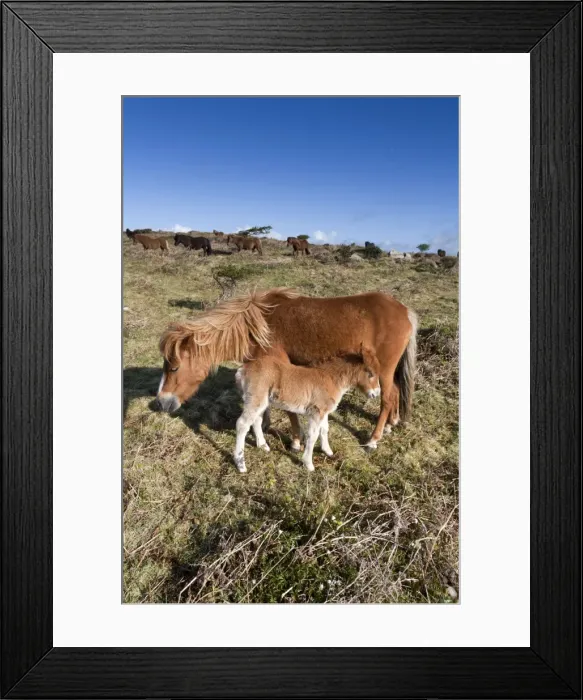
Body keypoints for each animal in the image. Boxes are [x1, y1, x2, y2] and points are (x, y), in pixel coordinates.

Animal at [157, 288, 417, 449]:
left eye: (174, 368)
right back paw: (392, 424)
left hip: (382, 371)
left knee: (388, 397)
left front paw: (295, 441)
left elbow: (289, 410)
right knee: (395, 392)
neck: (258, 325)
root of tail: (405, 311)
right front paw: (265, 427)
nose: (162, 403)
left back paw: (374, 439)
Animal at [233, 348, 381, 473]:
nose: (376, 394)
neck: (331, 379)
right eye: (370, 373)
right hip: (255, 398)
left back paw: (263, 445)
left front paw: (328, 451)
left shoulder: (323, 411)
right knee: (242, 424)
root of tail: (243, 369)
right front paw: (308, 464)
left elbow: (324, 430)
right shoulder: (316, 412)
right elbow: (313, 436)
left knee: (256, 420)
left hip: (262, 401)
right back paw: (240, 464)